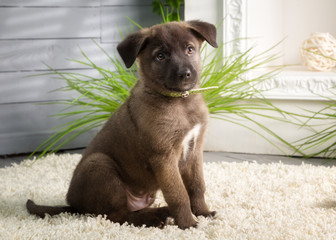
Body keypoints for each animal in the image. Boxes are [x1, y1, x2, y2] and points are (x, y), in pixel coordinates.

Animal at [27, 20, 219, 229]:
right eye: (160, 56)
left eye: (190, 49)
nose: (184, 74)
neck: (181, 102)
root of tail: (75, 206)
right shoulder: (164, 156)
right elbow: (178, 194)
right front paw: (188, 224)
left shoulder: (195, 149)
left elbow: (197, 186)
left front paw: (202, 212)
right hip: (100, 165)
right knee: (117, 215)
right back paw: (154, 219)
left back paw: (160, 212)